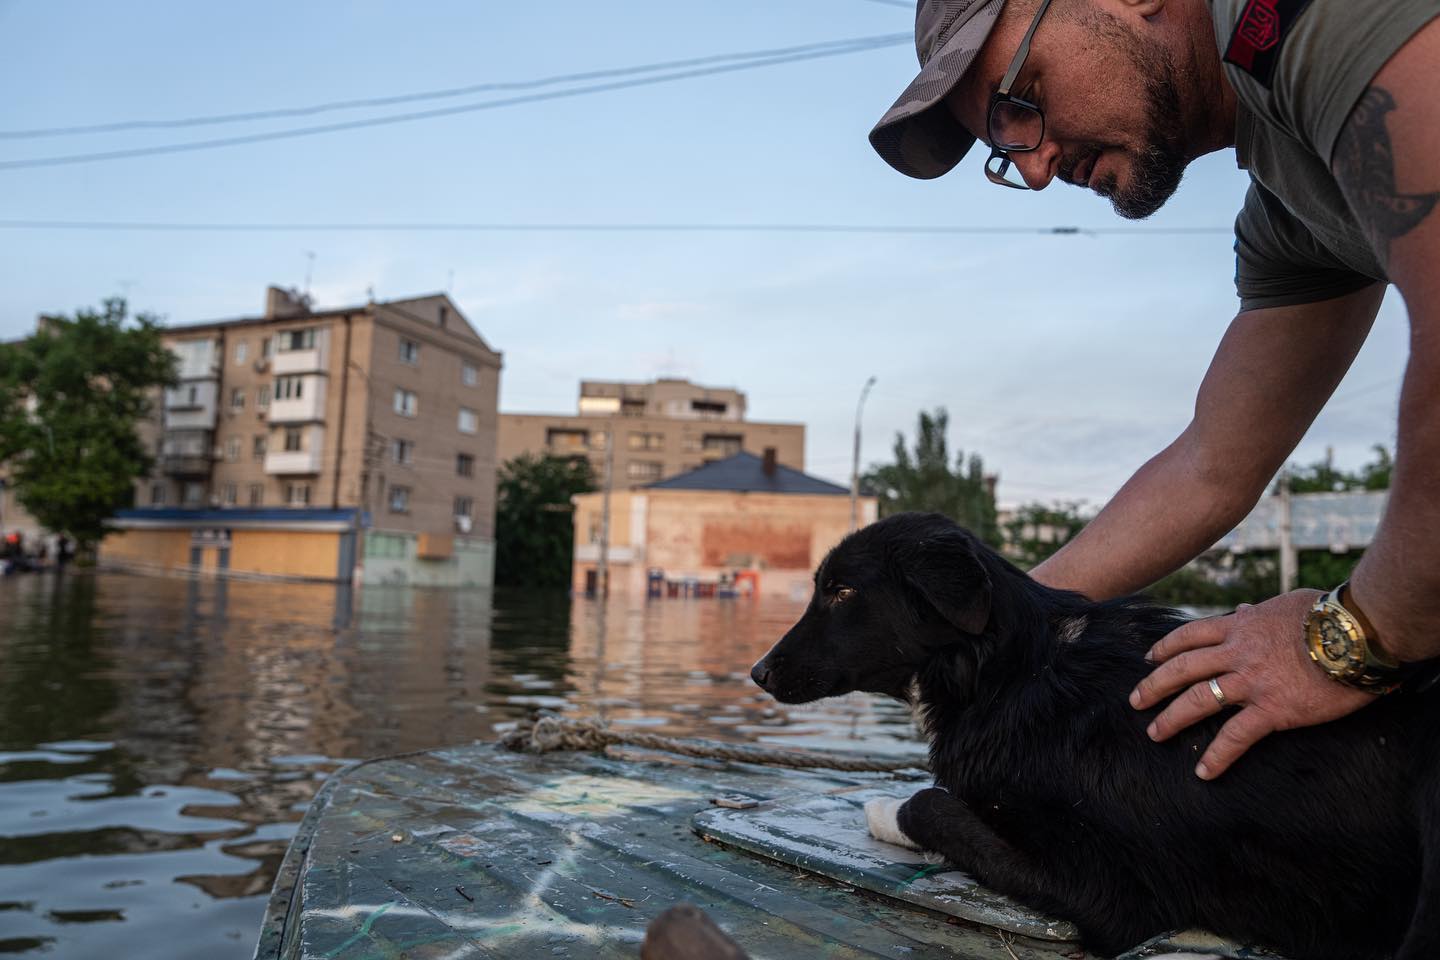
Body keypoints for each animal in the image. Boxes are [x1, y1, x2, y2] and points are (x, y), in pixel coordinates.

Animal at [748, 515, 1434, 960]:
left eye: (841, 591)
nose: (757, 672)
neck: (1009, 674)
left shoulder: (1112, 892)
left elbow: (931, 803)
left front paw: (886, 811)